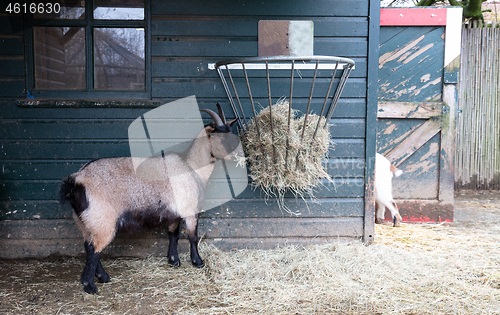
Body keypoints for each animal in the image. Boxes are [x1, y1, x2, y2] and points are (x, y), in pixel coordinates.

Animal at [58, 105, 238, 294]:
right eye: (222, 135)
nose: (239, 154)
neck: (191, 165)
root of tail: (76, 181)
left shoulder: (173, 213)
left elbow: (173, 234)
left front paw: (173, 260)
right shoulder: (189, 209)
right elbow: (192, 236)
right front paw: (198, 262)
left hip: (84, 221)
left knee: (89, 246)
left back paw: (103, 277)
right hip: (101, 220)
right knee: (94, 249)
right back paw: (90, 285)